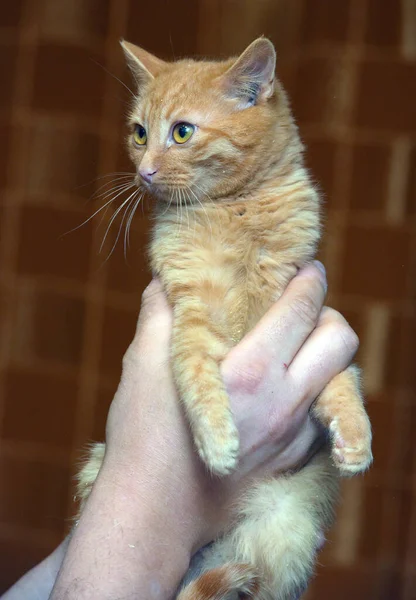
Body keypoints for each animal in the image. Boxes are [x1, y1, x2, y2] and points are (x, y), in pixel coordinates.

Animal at [78, 38, 374, 600]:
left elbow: (343, 381)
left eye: (182, 131)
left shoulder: (307, 301)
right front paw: (217, 444)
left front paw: (354, 438)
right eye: (140, 132)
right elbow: (196, 374)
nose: (144, 172)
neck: (236, 211)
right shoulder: (193, 307)